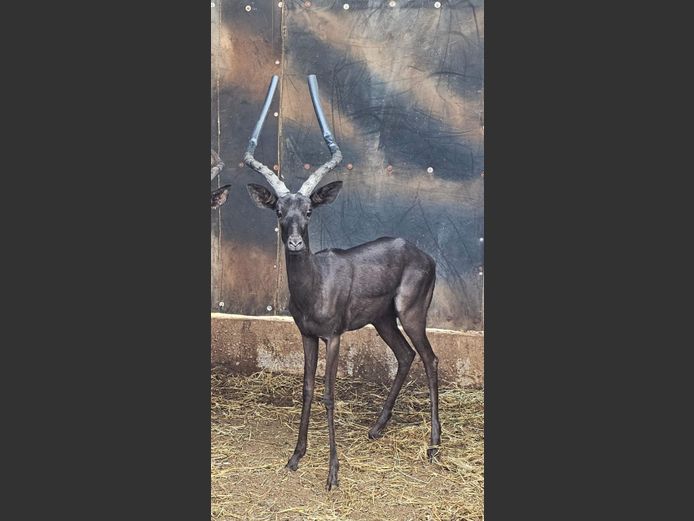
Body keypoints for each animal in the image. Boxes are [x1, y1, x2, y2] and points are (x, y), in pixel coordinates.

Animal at [243, 75, 440, 490]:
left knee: (430, 358)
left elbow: (330, 394)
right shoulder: (306, 334)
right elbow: (306, 389)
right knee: (405, 355)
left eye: (309, 210)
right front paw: (295, 457)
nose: (295, 243)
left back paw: (434, 446)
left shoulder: (333, 336)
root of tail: (423, 253)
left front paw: (333, 472)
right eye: (279, 211)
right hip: (382, 319)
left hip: (412, 313)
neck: (314, 286)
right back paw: (376, 430)